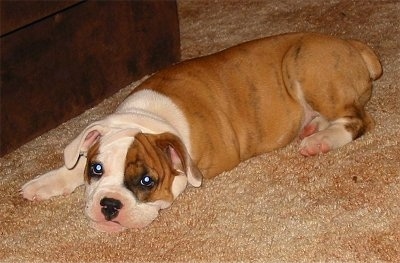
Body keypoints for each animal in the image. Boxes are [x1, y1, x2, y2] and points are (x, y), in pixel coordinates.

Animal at [21, 32, 382, 233]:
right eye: (96, 169)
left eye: (147, 181)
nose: (109, 205)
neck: (146, 119)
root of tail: (352, 45)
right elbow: (73, 163)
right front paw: (45, 182)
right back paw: (313, 127)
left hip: (305, 66)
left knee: (358, 120)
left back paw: (320, 140)